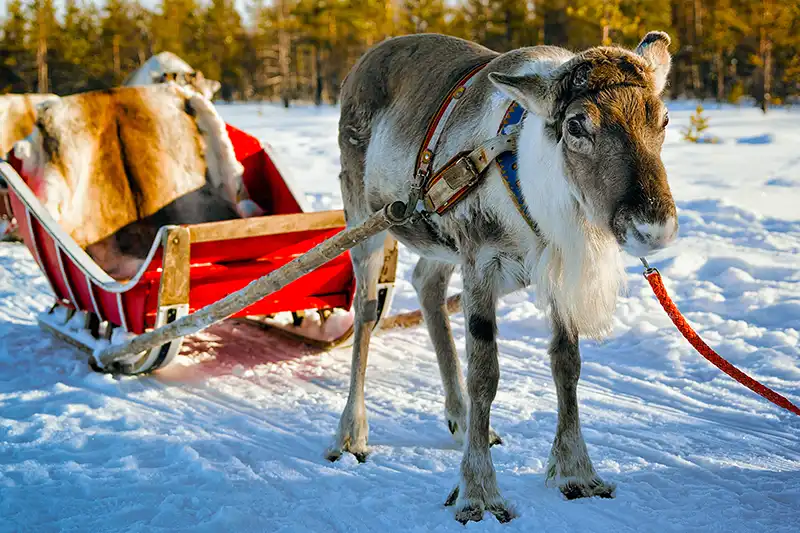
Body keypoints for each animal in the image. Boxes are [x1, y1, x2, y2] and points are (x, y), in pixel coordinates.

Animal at [326, 32, 678, 523]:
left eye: (662, 118)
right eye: (576, 125)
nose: (654, 228)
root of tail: (361, 63)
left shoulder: (555, 271)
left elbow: (567, 365)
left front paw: (577, 473)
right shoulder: (481, 263)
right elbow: (485, 375)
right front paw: (478, 493)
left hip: (441, 241)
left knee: (427, 284)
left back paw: (459, 419)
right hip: (365, 216)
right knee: (365, 310)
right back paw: (352, 433)